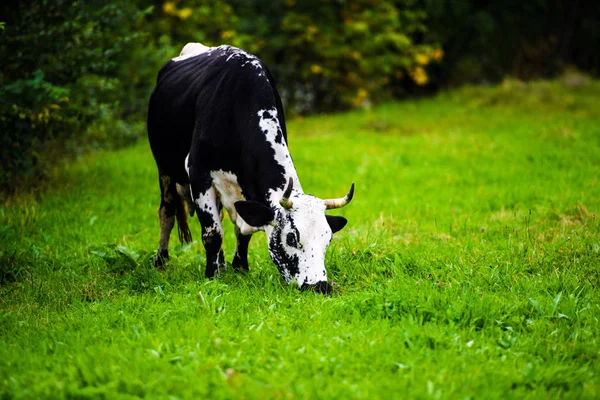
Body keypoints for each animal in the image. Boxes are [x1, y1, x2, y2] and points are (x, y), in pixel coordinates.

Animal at [148, 43, 354, 294]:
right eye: (291, 238)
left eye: (328, 239)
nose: (320, 286)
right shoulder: (199, 173)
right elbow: (212, 233)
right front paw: (211, 277)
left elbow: (241, 232)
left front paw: (240, 268)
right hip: (164, 169)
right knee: (166, 212)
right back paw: (161, 260)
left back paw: (222, 264)